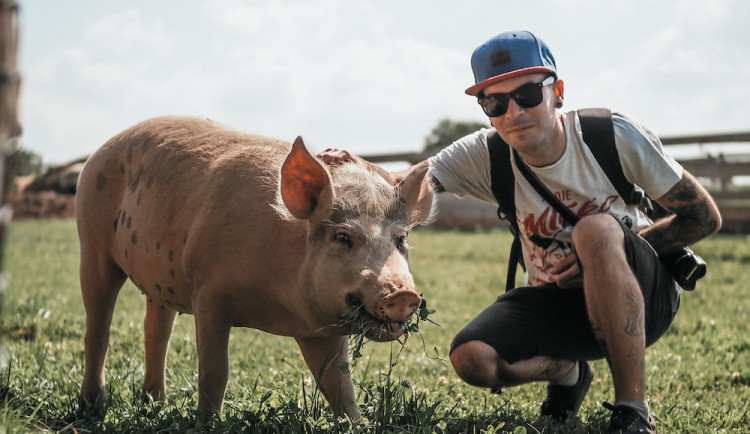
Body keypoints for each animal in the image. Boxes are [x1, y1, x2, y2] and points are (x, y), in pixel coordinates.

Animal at [75, 116, 434, 420]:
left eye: (400, 240)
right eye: (343, 237)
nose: (403, 294)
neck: (277, 311)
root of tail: (99, 151)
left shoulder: (320, 331)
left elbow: (339, 386)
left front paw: (357, 423)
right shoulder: (208, 293)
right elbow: (214, 372)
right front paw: (208, 423)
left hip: (160, 283)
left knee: (156, 331)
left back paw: (156, 403)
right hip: (91, 241)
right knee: (98, 328)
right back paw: (93, 407)